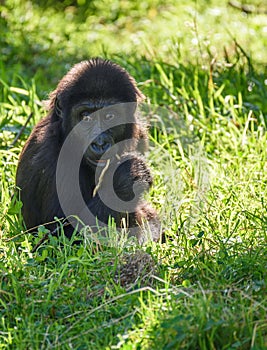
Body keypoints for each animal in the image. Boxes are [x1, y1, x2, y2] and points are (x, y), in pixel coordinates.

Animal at [16, 57, 161, 243]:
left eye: (110, 116)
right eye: (85, 117)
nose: (99, 143)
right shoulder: (53, 160)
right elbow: (60, 238)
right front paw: (126, 178)